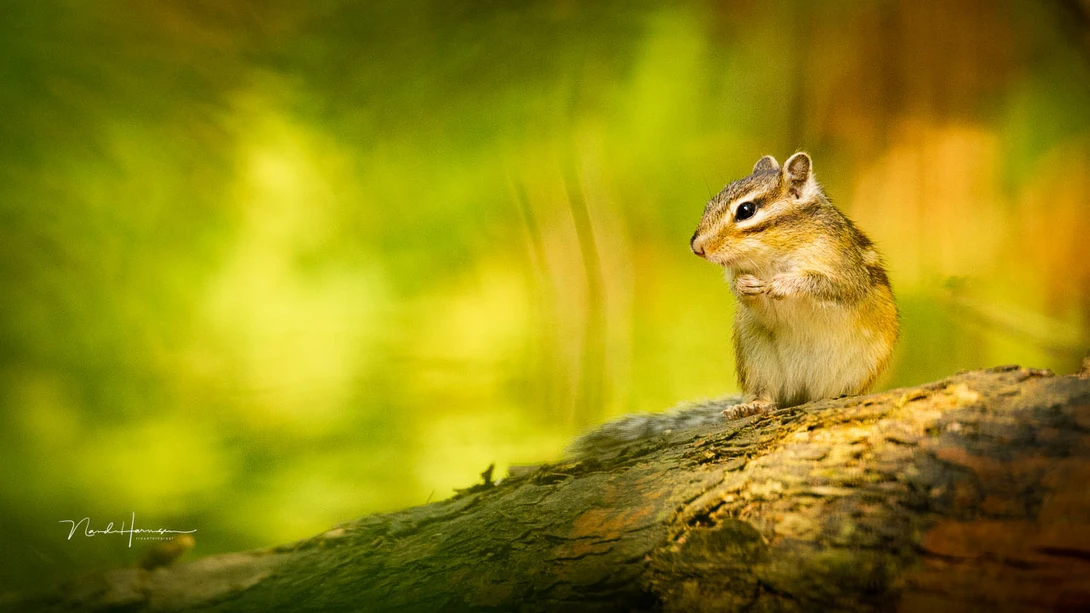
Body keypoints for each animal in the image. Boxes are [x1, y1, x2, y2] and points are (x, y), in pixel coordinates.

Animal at [569, 152, 898, 457]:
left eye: (746, 210)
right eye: (709, 204)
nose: (697, 247)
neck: (775, 254)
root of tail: (803, 395)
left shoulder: (846, 272)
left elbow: (826, 285)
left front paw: (783, 284)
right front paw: (745, 287)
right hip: (758, 359)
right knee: (767, 396)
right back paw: (751, 407)